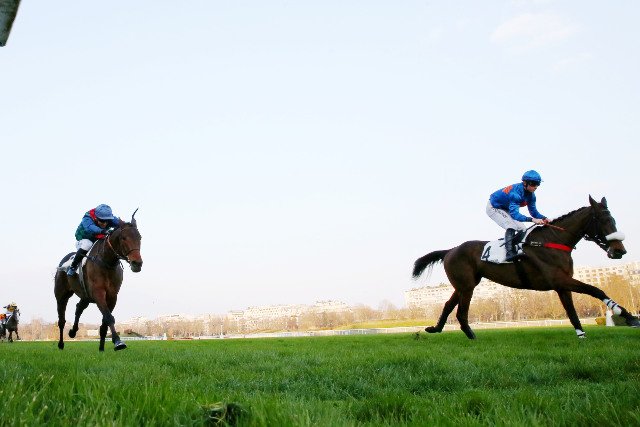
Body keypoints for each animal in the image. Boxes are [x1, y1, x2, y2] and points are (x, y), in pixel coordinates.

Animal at [54, 209, 143, 351]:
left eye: (139, 237)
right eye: (123, 238)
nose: (137, 263)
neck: (106, 262)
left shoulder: (112, 296)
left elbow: (104, 322)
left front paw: (102, 348)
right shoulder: (98, 293)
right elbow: (109, 317)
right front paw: (118, 342)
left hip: (85, 295)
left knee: (79, 308)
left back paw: (73, 332)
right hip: (61, 295)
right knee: (61, 320)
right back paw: (61, 344)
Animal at [413, 196, 640, 339]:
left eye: (613, 219)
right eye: (602, 220)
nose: (619, 251)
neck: (553, 241)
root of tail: (450, 250)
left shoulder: (562, 284)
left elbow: (571, 310)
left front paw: (581, 333)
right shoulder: (559, 279)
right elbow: (596, 289)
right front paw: (628, 316)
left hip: (465, 284)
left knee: (448, 304)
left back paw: (435, 329)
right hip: (467, 286)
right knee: (461, 310)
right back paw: (470, 334)